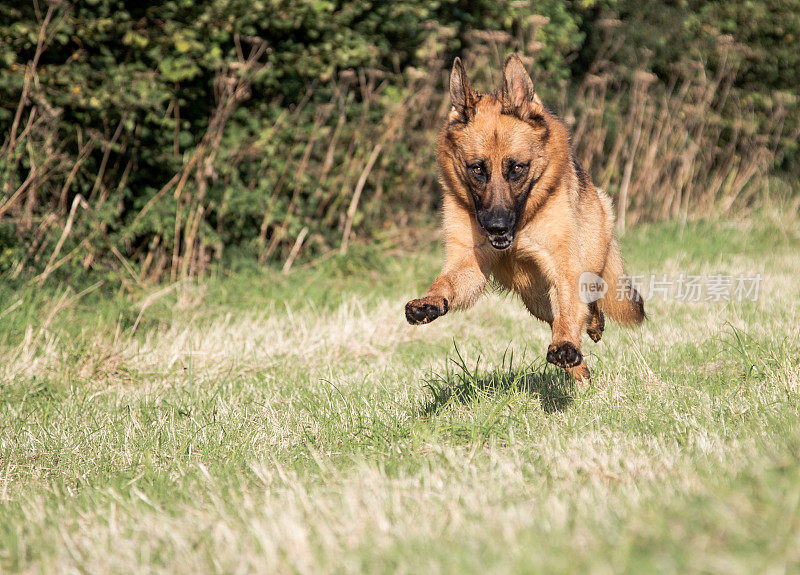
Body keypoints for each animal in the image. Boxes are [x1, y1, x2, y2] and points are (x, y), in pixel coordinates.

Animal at [406, 54, 644, 382]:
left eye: (517, 168)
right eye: (477, 169)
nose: (496, 227)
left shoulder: (563, 266)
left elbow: (570, 310)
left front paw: (565, 344)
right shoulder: (468, 261)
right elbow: (445, 282)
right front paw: (429, 301)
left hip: (584, 266)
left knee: (586, 305)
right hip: (538, 300)